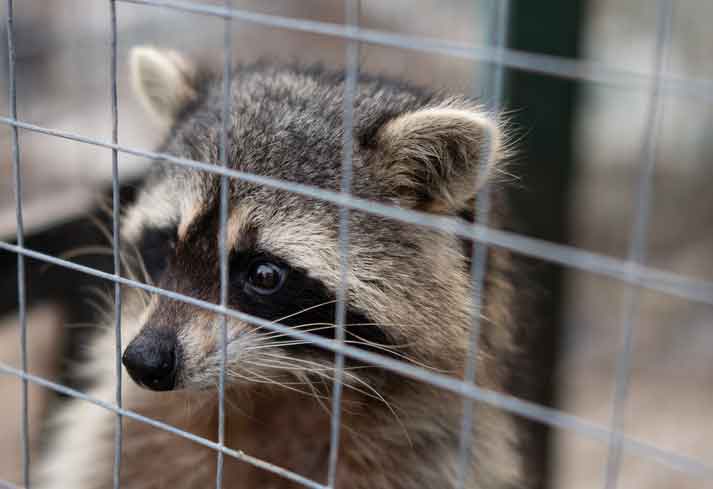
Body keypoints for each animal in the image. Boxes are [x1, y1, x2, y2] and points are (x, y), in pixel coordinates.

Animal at [37, 46, 523, 489]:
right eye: (169, 244)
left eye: (264, 275)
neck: (274, 387)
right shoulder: (129, 433)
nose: (144, 361)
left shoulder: (426, 448)